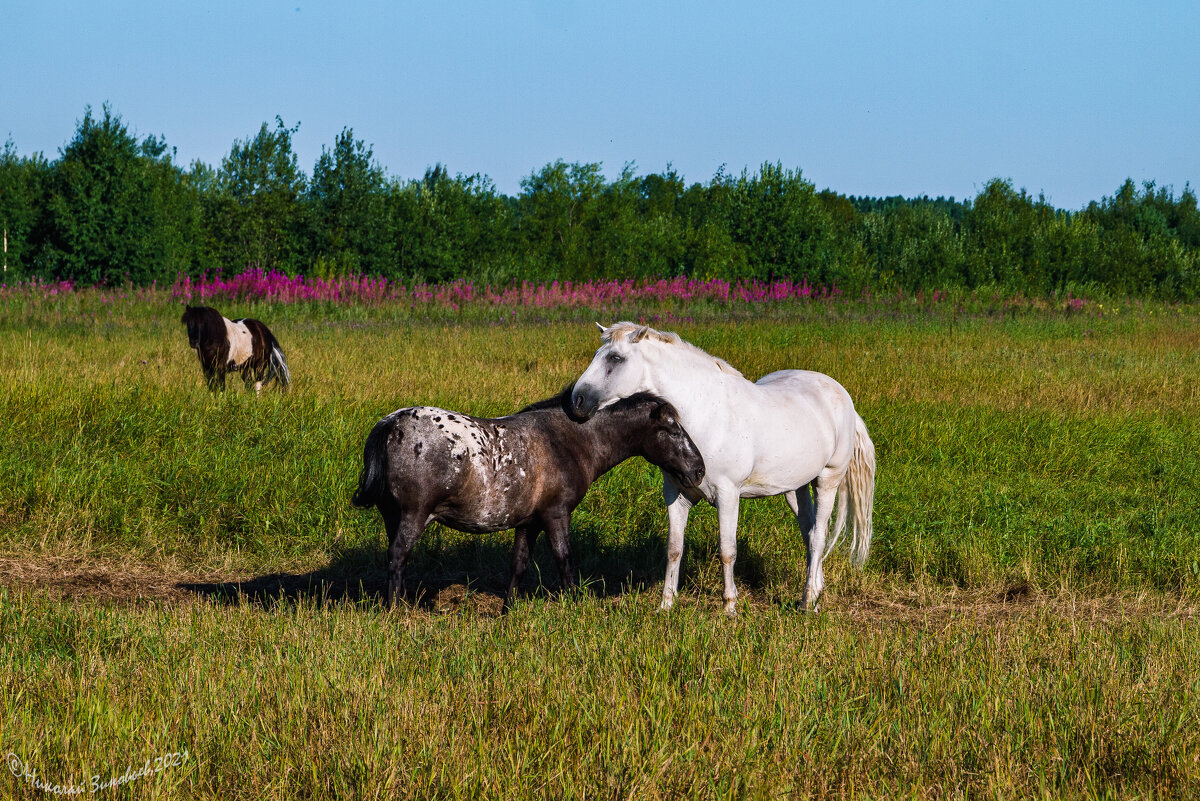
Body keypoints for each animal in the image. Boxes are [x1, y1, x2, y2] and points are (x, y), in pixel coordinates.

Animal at [350, 388, 705, 606]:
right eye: (673, 429)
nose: (699, 470)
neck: (570, 440)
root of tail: (390, 423)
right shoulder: (556, 515)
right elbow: (565, 560)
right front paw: (576, 606)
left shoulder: (528, 522)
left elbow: (519, 565)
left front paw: (508, 610)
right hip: (414, 515)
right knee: (398, 557)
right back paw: (395, 611)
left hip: (393, 517)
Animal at [566, 321, 878, 613]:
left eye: (615, 358)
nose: (576, 402)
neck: (705, 415)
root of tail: (843, 397)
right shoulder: (676, 494)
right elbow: (674, 549)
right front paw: (666, 604)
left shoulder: (728, 495)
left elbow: (728, 551)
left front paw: (729, 606)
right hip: (795, 488)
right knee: (809, 532)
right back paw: (815, 588)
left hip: (827, 480)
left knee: (819, 537)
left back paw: (808, 600)